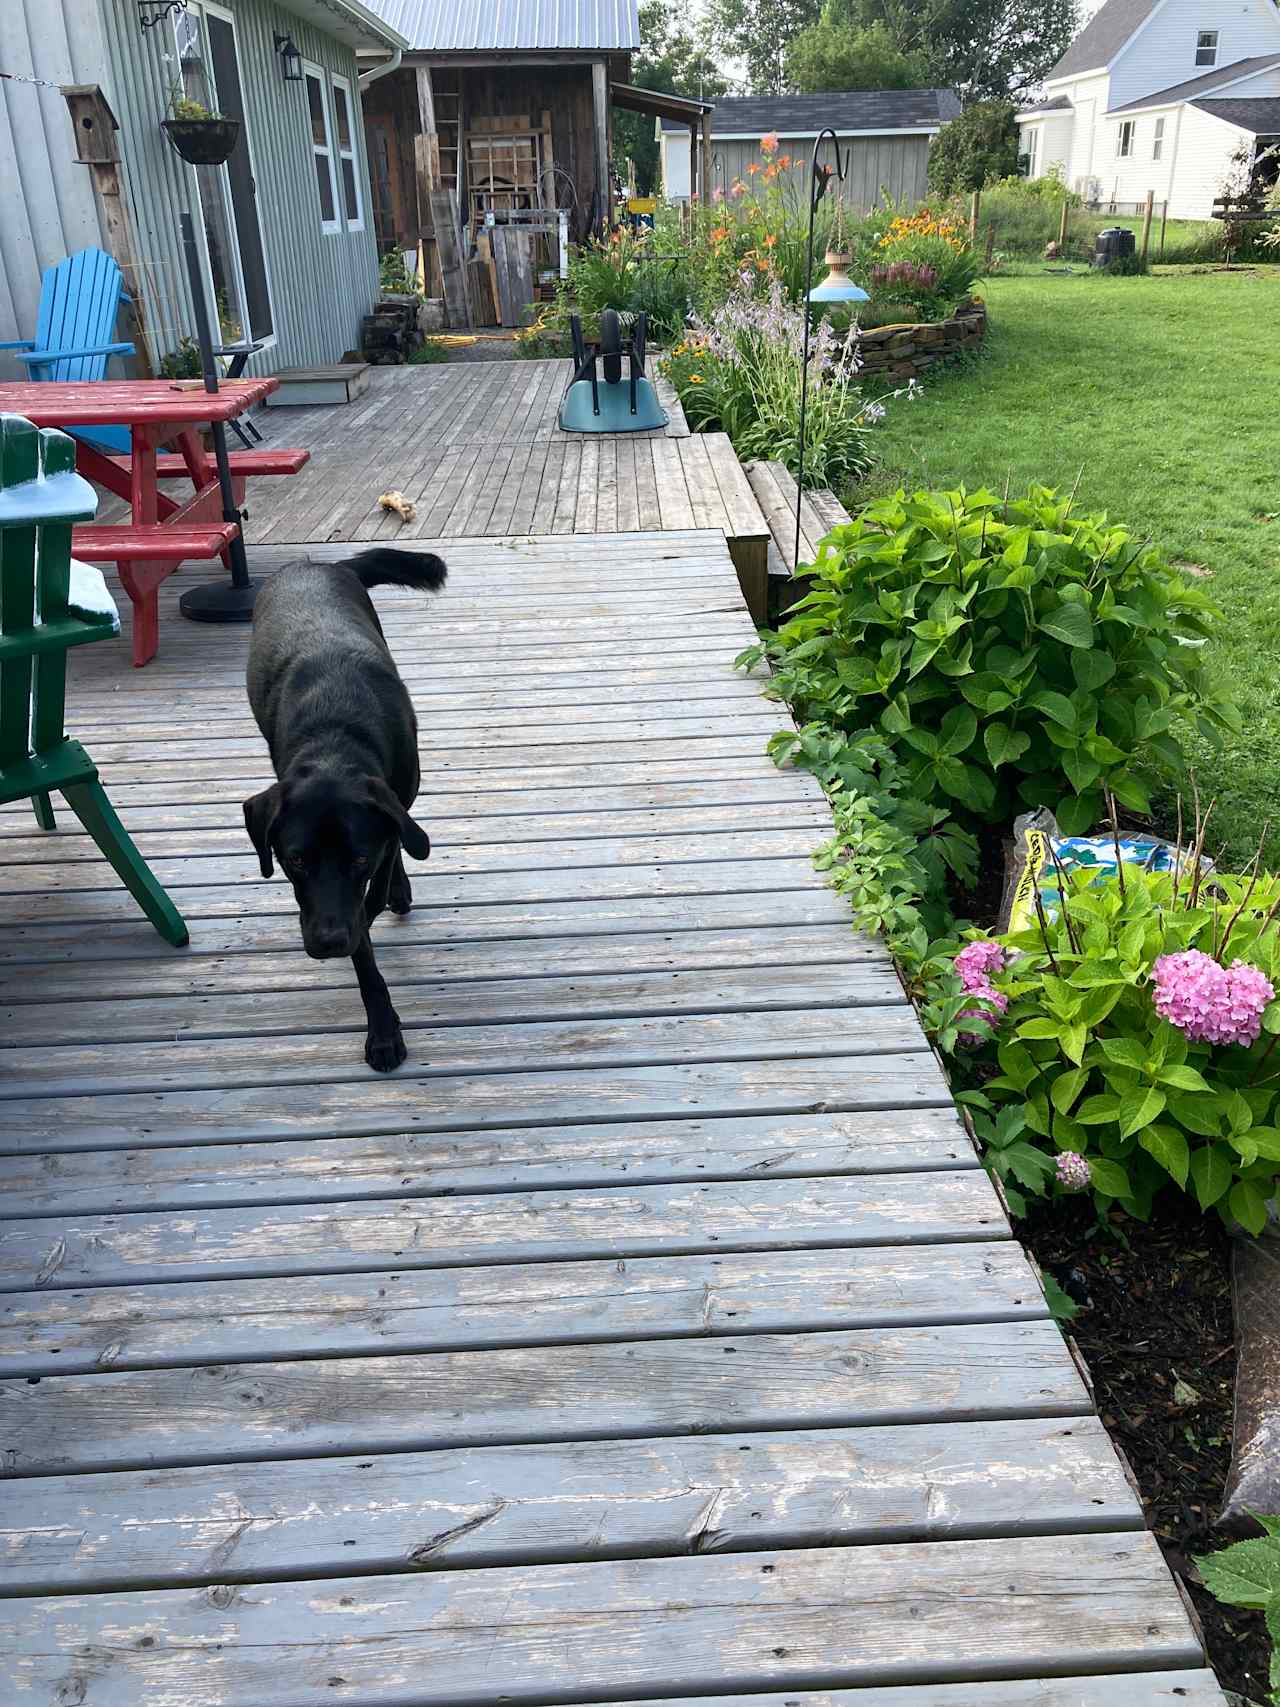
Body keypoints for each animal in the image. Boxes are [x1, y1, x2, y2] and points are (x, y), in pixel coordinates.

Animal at [244, 549, 447, 1065]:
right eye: (294, 860)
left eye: (358, 858)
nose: (327, 942)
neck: (335, 736)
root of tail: (317, 563)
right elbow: (364, 954)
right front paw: (383, 1027)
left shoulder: (389, 818)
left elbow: (378, 879)